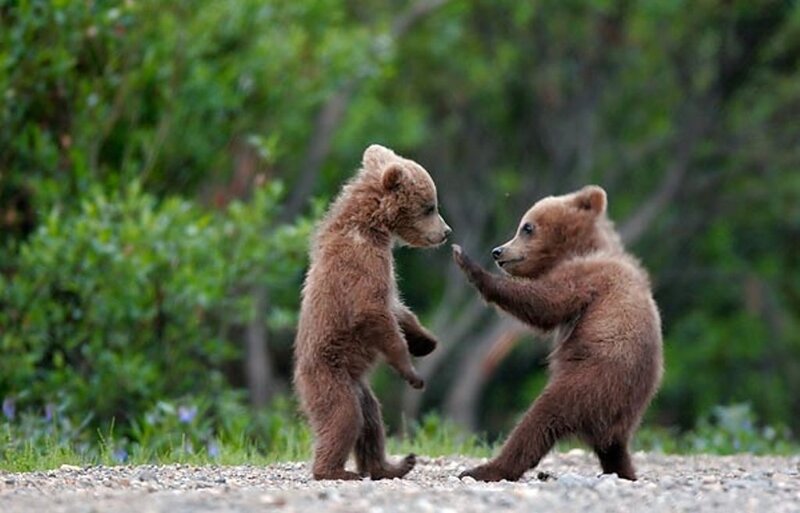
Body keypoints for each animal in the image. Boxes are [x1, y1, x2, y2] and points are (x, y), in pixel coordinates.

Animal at [293, 144, 451, 481]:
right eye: (430, 206)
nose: (446, 231)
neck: (373, 227)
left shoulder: (384, 268)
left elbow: (397, 308)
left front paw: (426, 341)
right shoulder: (362, 264)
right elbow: (372, 311)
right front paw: (412, 373)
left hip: (359, 386)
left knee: (371, 421)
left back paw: (392, 465)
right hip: (330, 376)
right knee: (344, 417)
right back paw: (335, 471)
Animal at [451, 185, 663, 482]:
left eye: (527, 227)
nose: (498, 251)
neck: (581, 248)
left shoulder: (587, 278)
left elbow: (545, 303)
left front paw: (467, 262)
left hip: (590, 381)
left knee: (539, 420)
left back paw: (485, 469)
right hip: (620, 410)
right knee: (613, 448)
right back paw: (624, 471)